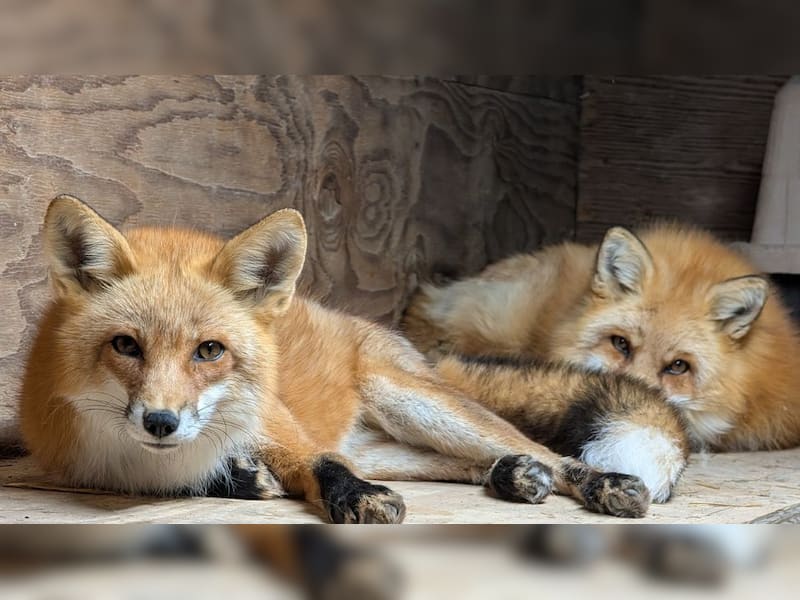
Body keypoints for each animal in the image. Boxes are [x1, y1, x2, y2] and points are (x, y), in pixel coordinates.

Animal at [18, 195, 651, 524]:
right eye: (126, 345)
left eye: (209, 351)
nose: (160, 422)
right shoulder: (78, 467)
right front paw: (241, 478)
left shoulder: (275, 422)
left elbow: (321, 463)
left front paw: (353, 497)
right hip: (395, 445)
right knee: (464, 461)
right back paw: (512, 475)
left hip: (416, 405)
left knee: (540, 449)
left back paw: (597, 480)